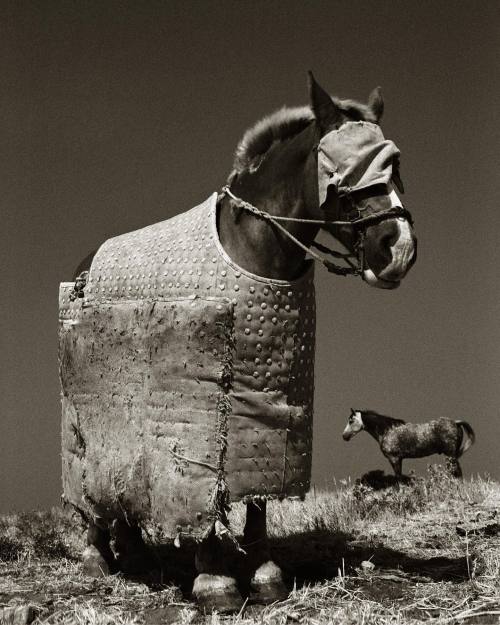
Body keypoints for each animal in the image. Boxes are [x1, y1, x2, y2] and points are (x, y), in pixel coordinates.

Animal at [58, 72, 418, 608]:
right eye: (341, 171)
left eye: (394, 165)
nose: (398, 249)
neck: (253, 246)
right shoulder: (209, 415)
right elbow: (209, 492)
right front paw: (215, 580)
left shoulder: (267, 409)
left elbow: (258, 500)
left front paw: (266, 574)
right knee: (90, 482)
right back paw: (97, 556)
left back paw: (138, 557)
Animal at [342, 410, 474, 478]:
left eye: (351, 421)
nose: (344, 436)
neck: (387, 430)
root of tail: (456, 422)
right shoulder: (399, 459)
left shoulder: (394, 459)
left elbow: (398, 480)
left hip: (450, 455)